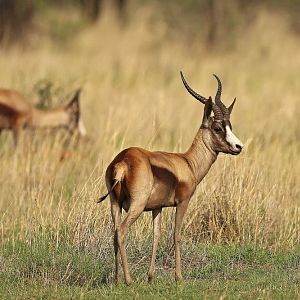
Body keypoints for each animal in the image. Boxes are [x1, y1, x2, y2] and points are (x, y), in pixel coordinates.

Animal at [98, 71, 244, 284]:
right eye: (217, 128)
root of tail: (123, 161)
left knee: (114, 233)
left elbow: (156, 235)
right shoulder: (183, 202)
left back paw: (117, 280)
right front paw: (179, 277)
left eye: (229, 125)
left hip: (114, 204)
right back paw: (128, 280)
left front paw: (150, 277)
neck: (188, 162)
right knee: (122, 231)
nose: (238, 147)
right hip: (136, 206)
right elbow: (176, 235)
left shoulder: (157, 207)